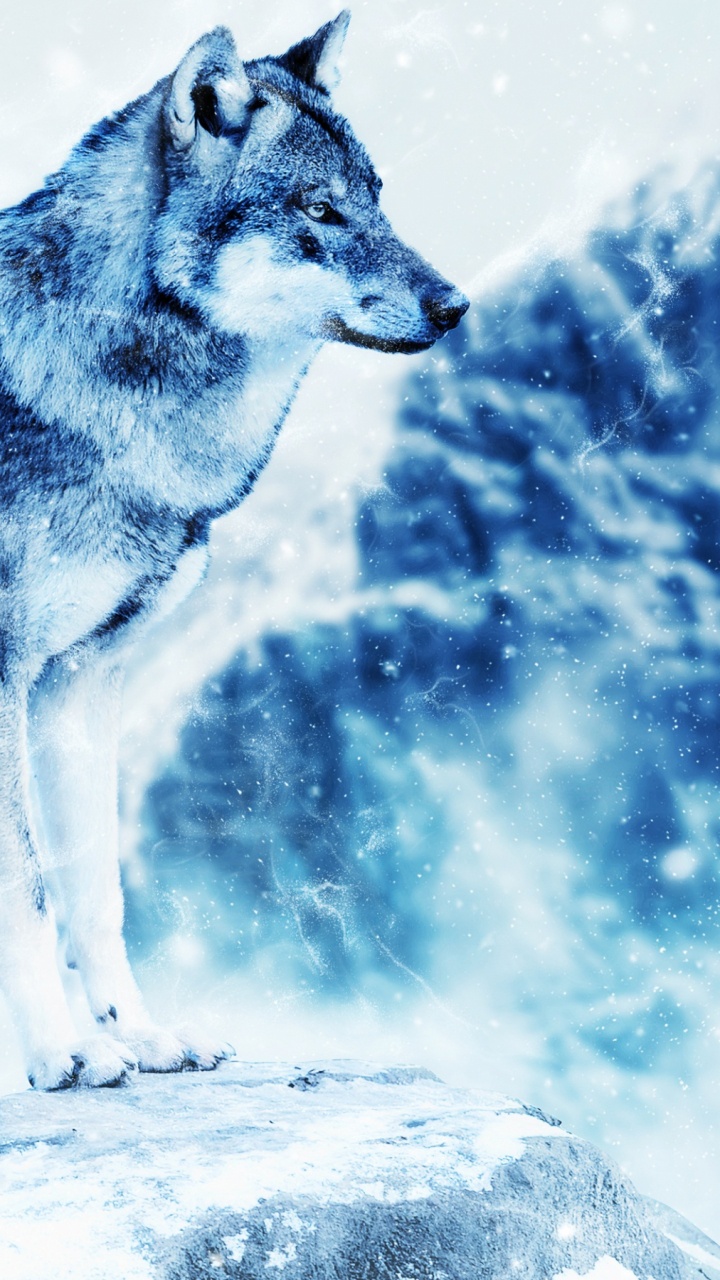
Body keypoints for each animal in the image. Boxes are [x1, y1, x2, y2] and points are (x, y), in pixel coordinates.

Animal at [0, 12, 468, 1090]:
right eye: (319, 211)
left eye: (377, 198)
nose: (457, 304)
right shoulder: (4, 677)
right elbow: (29, 890)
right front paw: (61, 1053)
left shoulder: (78, 682)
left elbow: (95, 889)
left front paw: (137, 1035)